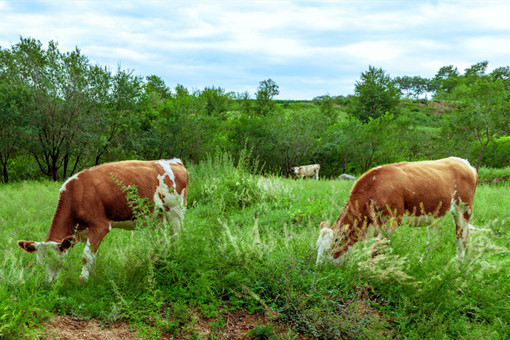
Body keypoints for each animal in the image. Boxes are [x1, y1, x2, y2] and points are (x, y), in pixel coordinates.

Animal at [17, 159, 190, 282]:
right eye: (40, 264)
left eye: (56, 262)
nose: (49, 283)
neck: (76, 194)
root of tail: (174, 161)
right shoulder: (86, 232)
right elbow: (92, 256)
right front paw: (92, 279)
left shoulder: (100, 225)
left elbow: (86, 256)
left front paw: (82, 280)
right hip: (156, 216)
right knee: (162, 240)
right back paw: (157, 259)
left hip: (175, 209)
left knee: (177, 236)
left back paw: (175, 256)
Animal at [314, 157, 478, 266]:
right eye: (317, 247)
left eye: (329, 249)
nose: (319, 268)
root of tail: (463, 162)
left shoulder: (391, 222)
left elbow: (375, 250)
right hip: (436, 215)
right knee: (434, 240)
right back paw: (422, 262)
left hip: (464, 210)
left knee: (462, 238)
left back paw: (459, 266)